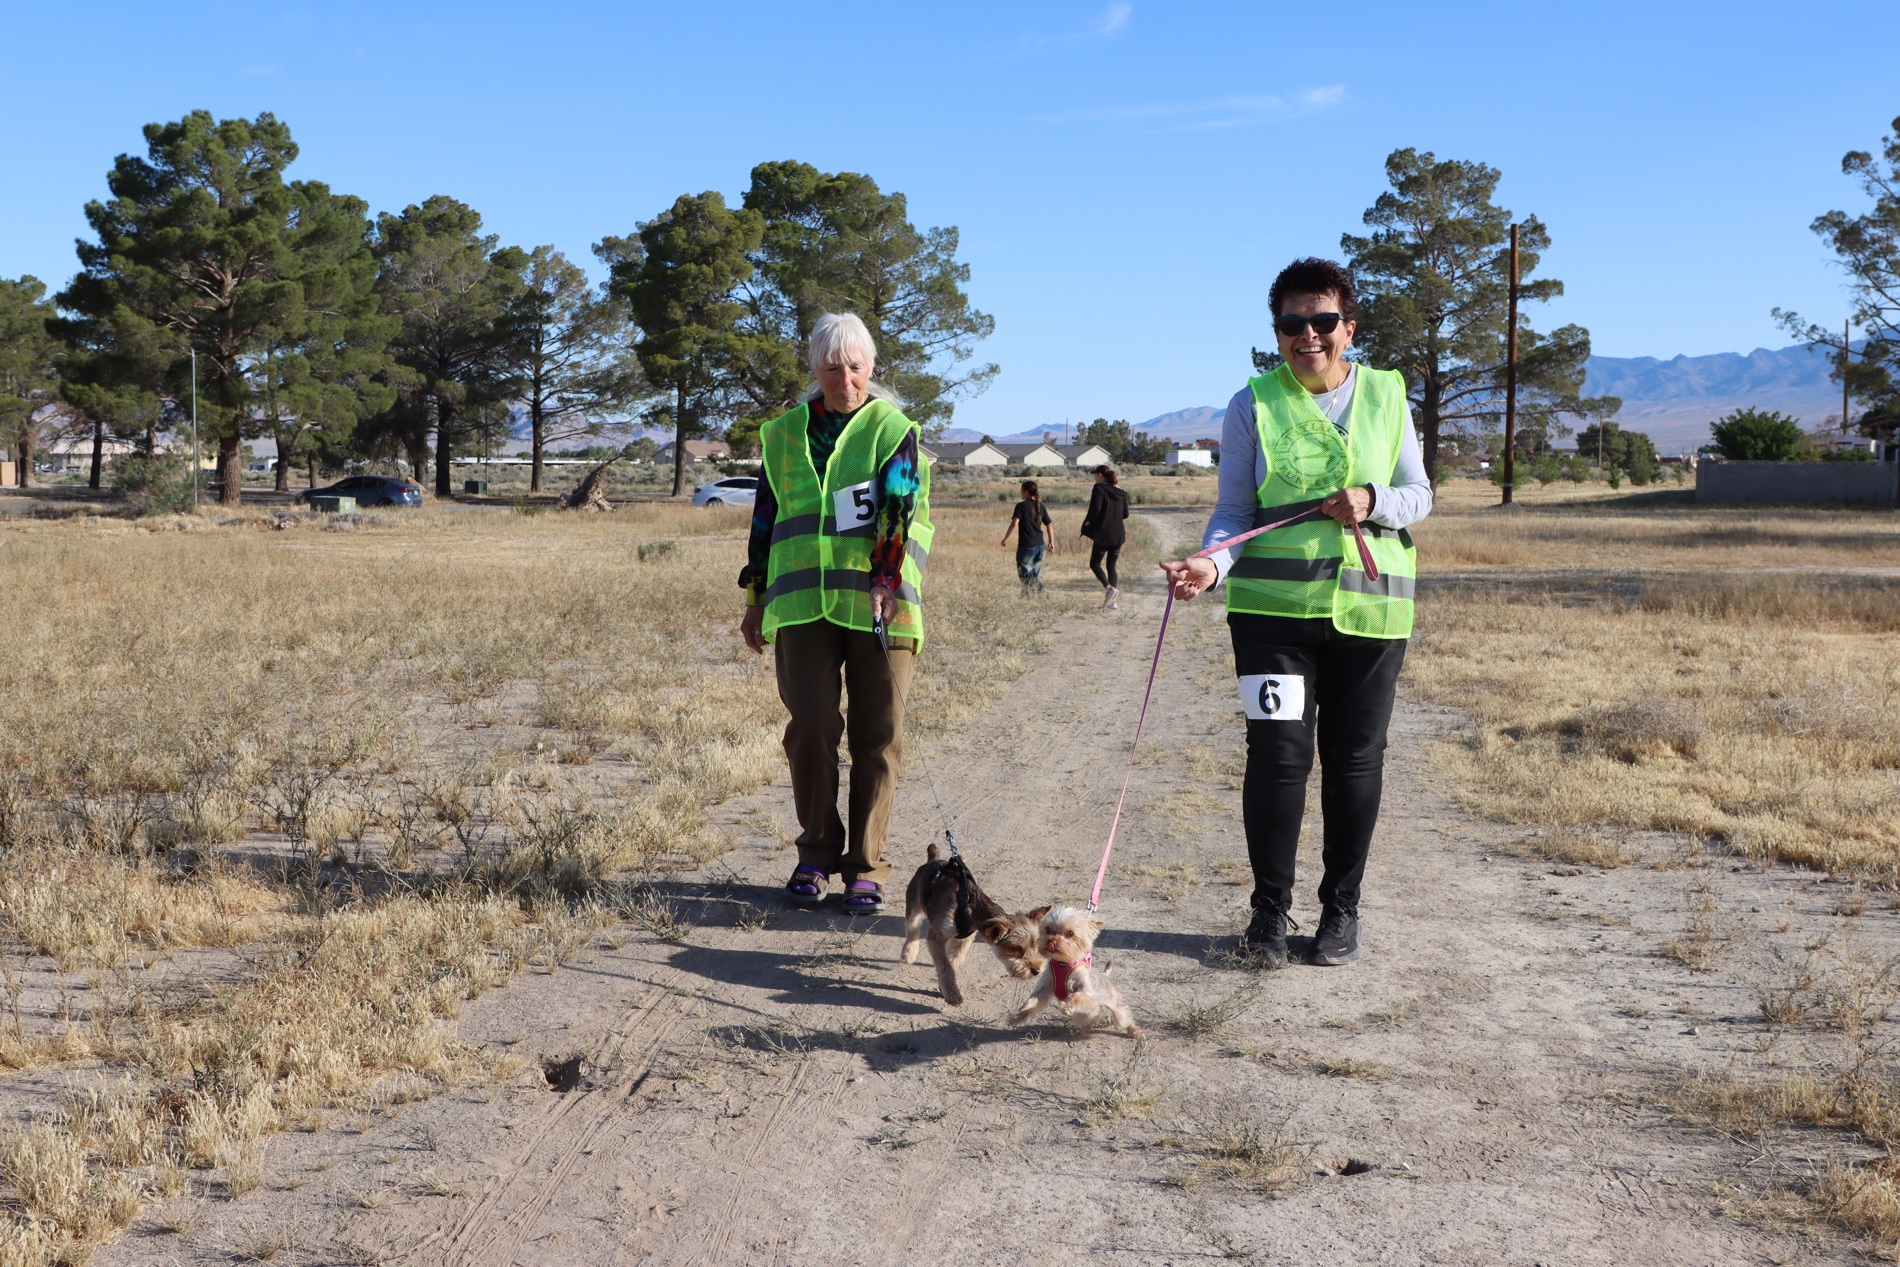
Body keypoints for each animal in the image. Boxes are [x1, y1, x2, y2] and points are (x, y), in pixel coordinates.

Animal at [900, 843, 1048, 1006]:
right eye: (1015, 948)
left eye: (1035, 945)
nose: (1036, 970)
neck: (971, 906)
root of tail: (931, 860)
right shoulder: (936, 936)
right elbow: (946, 967)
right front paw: (952, 994)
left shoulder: (965, 938)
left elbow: (954, 960)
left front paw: (944, 987)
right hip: (913, 906)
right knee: (912, 930)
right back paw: (909, 953)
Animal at [1009, 905, 1141, 1037]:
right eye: (1048, 929)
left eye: (1070, 933)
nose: (1051, 941)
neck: (1063, 964)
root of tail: (1105, 975)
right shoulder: (1044, 987)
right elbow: (1032, 1001)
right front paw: (1018, 1016)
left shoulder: (1089, 994)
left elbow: (1078, 995)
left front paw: (1067, 1005)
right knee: (1088, 1017)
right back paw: (1087, 1026)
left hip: (1115, 1007)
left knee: (1124, 1016)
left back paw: (1134, 1031)